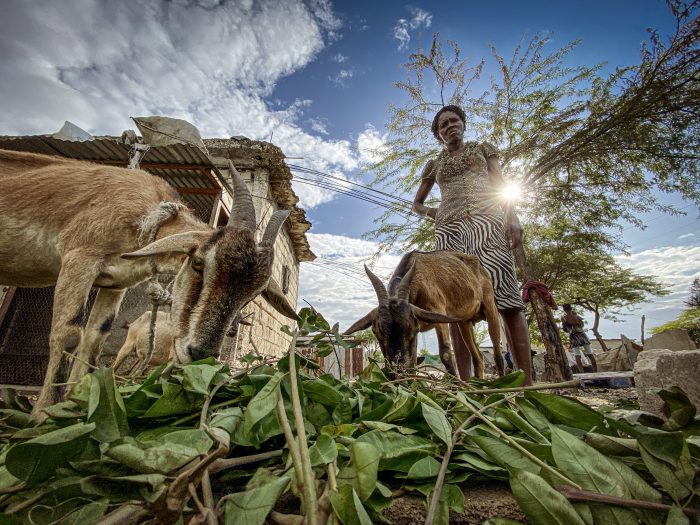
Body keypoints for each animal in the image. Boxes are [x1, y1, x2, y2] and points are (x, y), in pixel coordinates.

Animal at [0, 149, 296, 416]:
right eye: (198, 263)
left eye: (252, 294)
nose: (200, 352)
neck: (147, 215)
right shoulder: (80, 257)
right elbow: (71, 333)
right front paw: (43, 414)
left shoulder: (115, 284)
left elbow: (96, 338)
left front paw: (76, 404)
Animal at [344, 250, 504, 376]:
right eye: (376, 331)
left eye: (411, 329)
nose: (397, 372)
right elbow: (413, 360)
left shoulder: (436, 312)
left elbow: (445, 353)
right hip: (464, 322)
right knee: (478, 358)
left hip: (490, 307)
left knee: (498, 353)